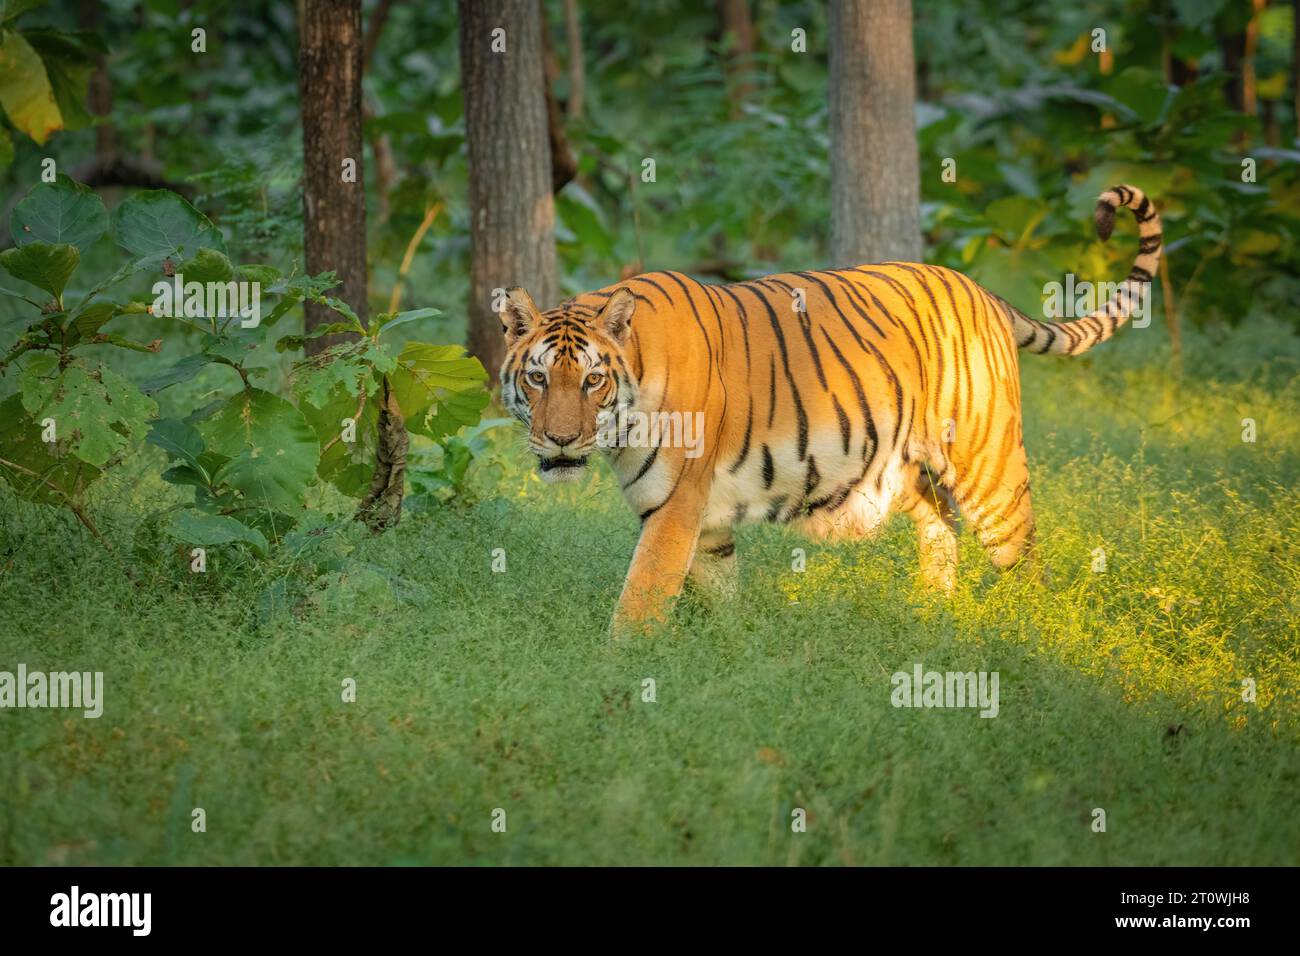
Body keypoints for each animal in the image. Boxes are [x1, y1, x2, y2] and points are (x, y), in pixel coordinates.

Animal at [499, 187, 1170, 634]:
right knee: (941, 529)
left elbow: (640, 596)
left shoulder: (675, 505)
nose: (560, 440)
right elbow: (716, 585)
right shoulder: (701, 516)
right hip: (911, 468)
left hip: (988, 468)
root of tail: (981, 289)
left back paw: (1034, 636)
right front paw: (729, 647)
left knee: (1025, 558)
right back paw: (929, 617)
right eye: (537, 378)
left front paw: (620, 668)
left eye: (592, 381)